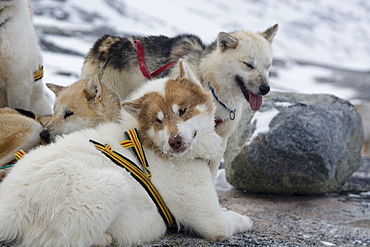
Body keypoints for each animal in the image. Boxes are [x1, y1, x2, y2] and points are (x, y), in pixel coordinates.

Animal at [0, 60, 253, 246]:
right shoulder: (213, 222)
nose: (175, 142)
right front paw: (245, 219)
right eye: (157, 120)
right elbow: (231, 221)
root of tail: (11, 205)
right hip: (116, 183)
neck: (148, 144)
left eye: (182, 110)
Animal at [80, 23, 278, 143]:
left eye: (268, 65)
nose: (265, 89)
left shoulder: (220, 139)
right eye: (248, 64)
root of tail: (107, 42)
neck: (210, 85)